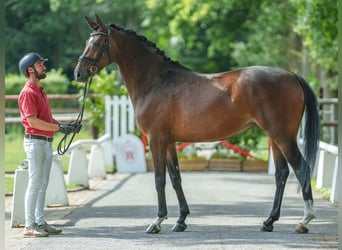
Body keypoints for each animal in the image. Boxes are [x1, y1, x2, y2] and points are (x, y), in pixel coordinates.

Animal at [73, 15, 320, 234]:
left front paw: (157, 221)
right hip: (274, 137)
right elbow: (175, 178)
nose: (78, 73)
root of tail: (291, 75)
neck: (156, 81)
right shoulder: (169, 142)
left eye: (97, 43)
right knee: (281, 174)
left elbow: (159, 178)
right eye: (86, 42)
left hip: (283, 136)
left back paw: (304, 220)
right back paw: (268, 221)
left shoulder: (156, 139)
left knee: (302, 168)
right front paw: (181, 220)